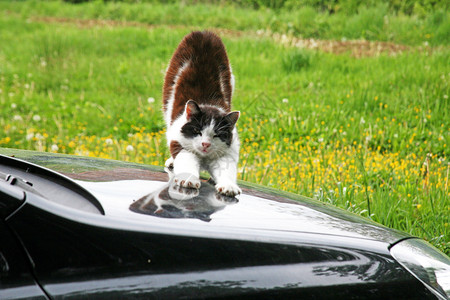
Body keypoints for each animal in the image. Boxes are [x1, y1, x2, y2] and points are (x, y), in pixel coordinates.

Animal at [163, 31, 241, 197]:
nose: (205, 144)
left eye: (217, 135)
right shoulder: (179, 141)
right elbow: (186, 158)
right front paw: (188, 179)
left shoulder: (228, 150)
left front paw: (228, 186)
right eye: (197, 131)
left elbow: (226, 168)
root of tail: (204, 33)